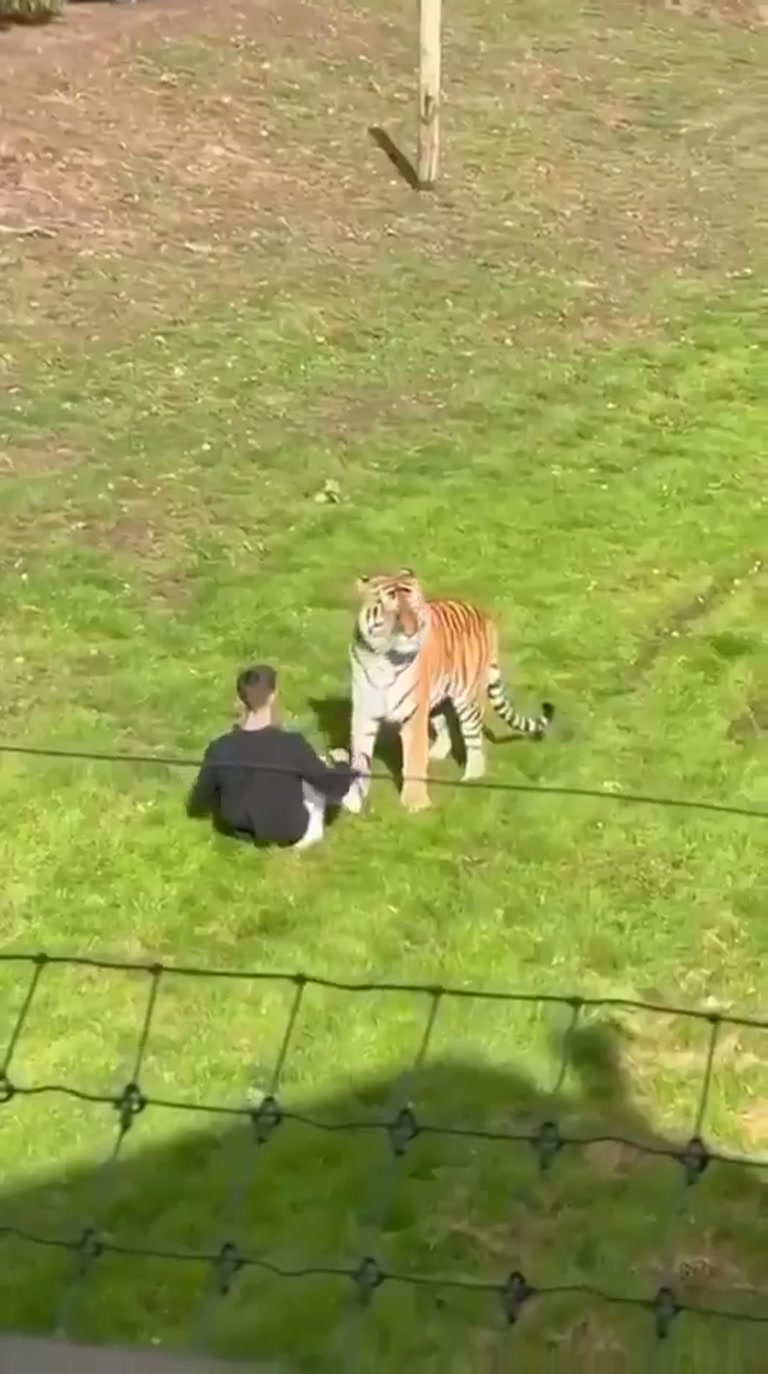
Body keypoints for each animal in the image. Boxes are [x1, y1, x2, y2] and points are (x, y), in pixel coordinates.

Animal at [333, 568, 554, 813]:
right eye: (392, 608)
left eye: (414, 606)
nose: (411, 631)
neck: (384, 659)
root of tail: (484, 615)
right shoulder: (364, 712)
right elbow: (359, 759)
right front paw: (353, 800)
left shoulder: (413, 715)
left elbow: (414, 761)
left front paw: (416, 804)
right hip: (438, 697)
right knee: (445, 724)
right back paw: (437, 754)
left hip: (467, 700)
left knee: (473, 738)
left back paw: (471, 778)